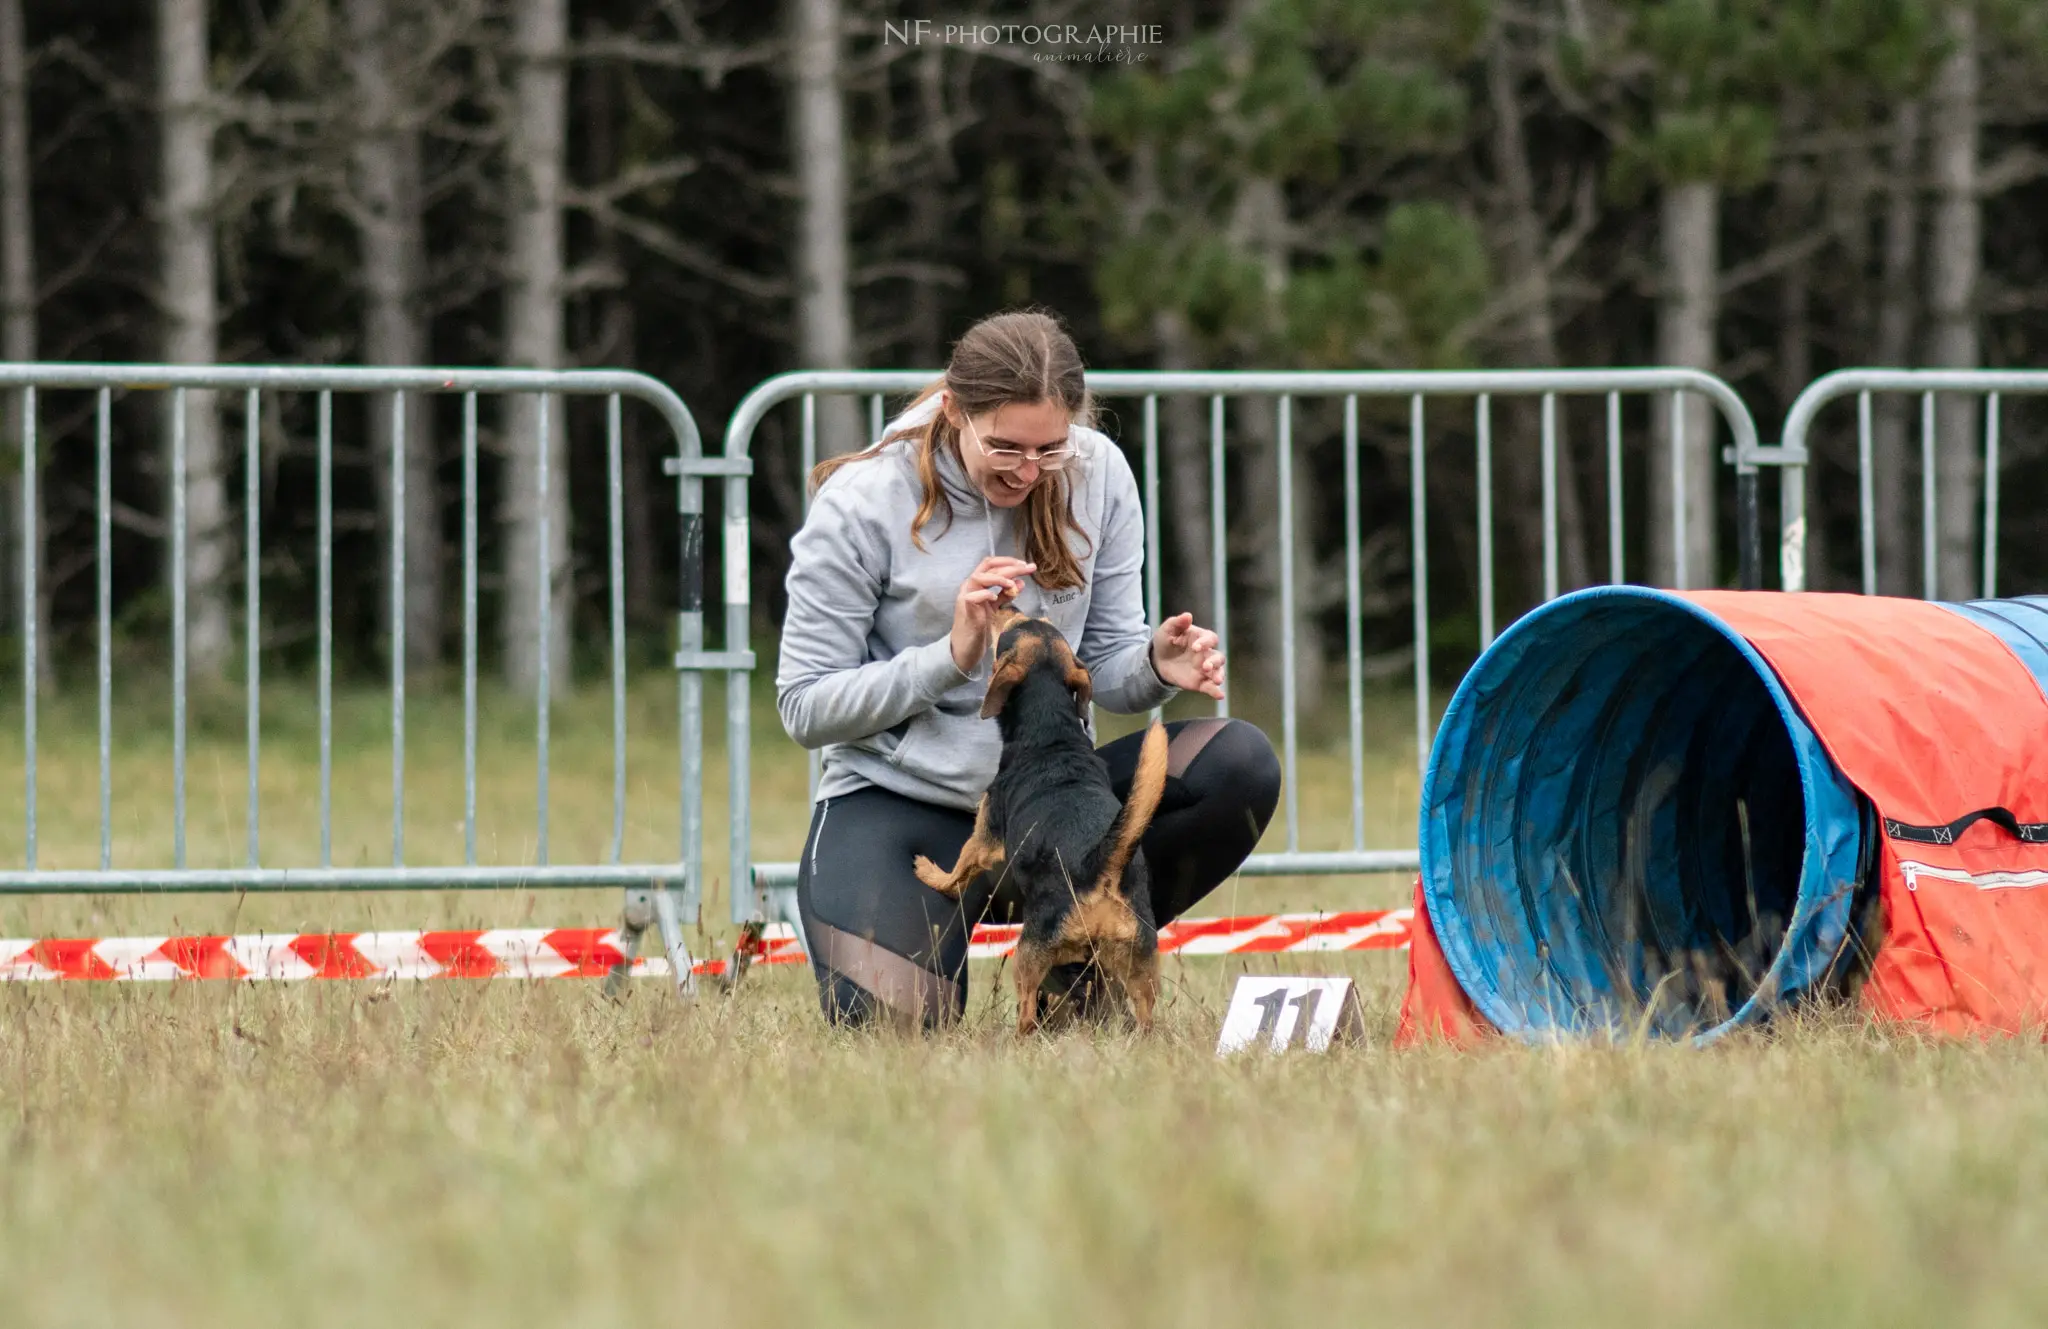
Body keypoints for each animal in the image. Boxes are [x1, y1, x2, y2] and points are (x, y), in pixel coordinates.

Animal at [913, 606, 1171, 1032]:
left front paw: (929, 873)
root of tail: (1098, 867)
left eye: (1011, 629)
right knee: (1147, 1014)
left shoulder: (985, 838)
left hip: (1029, 953)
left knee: (1027, 1012)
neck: (1051, 727)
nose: (1011, 605)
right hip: (1138, 960)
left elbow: (958, 872)